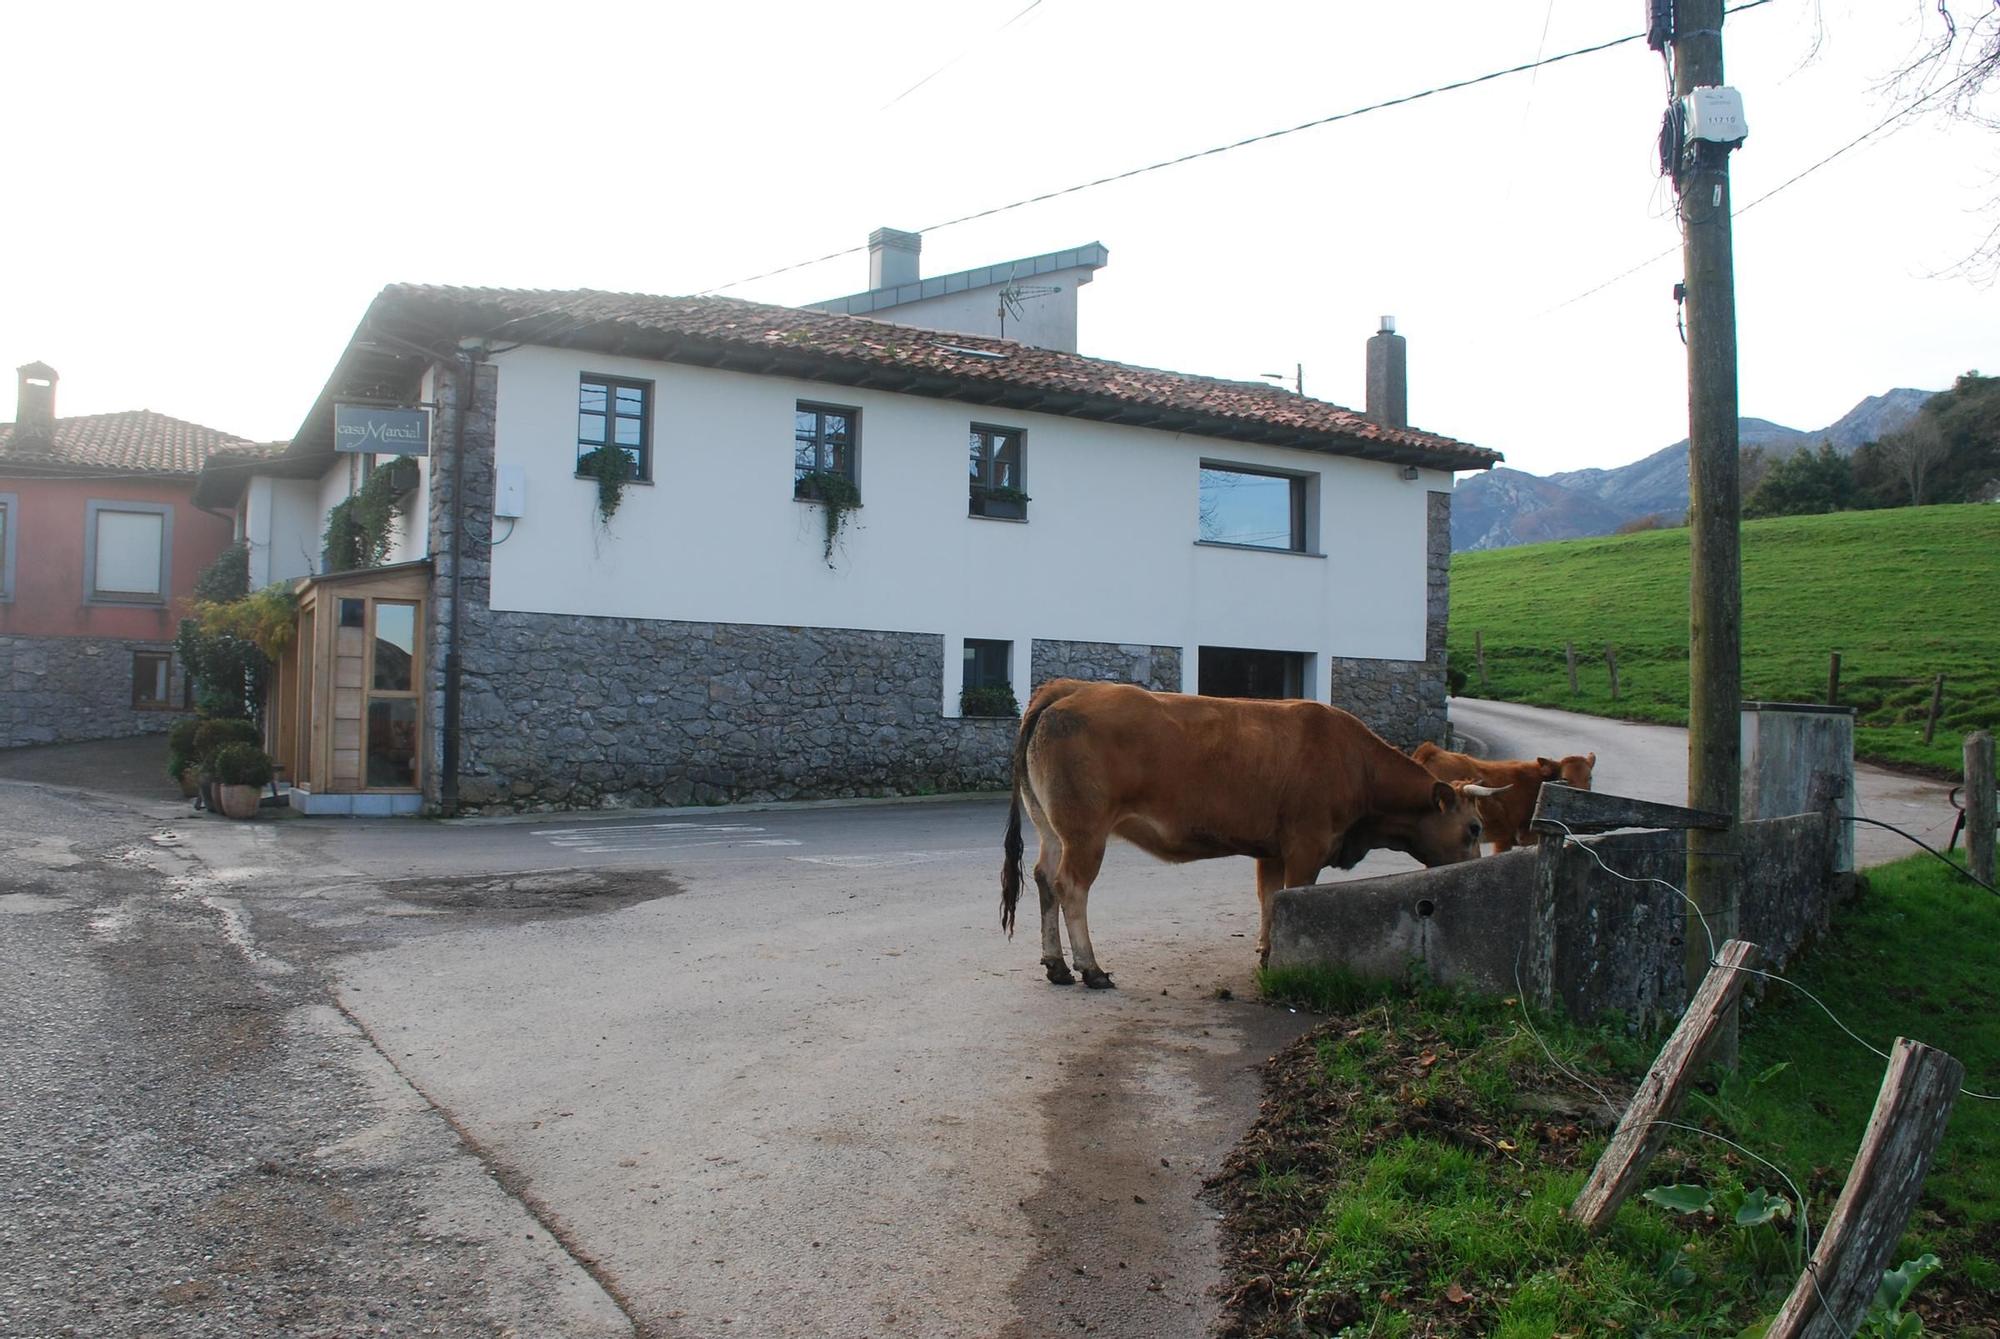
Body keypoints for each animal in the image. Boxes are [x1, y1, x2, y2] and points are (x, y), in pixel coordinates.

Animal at [1000, 683, 1504, 987]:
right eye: (1474, 827)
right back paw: (1090, 968)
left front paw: (1266, 951)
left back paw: (1056, 965)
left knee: (1045, 880)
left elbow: (1269, 898)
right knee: (1071, 887)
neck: (1356, 764)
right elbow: (1292, 894)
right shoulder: (1306, 845)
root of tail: (1072, 687)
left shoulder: (1272, 849)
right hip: (1086, 832)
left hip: (1052, 828)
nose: (1480, 873)